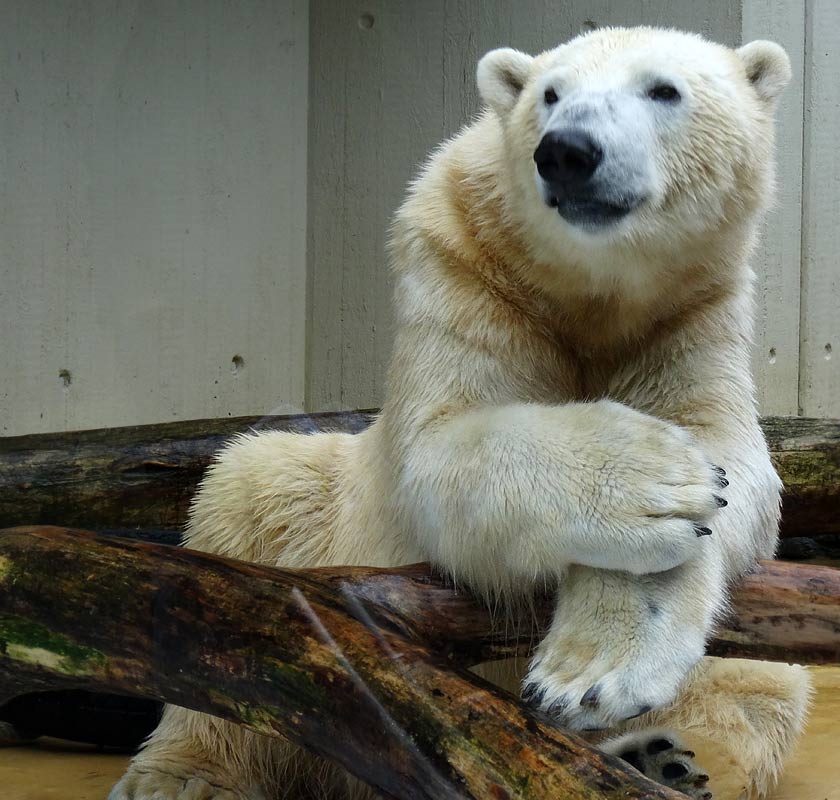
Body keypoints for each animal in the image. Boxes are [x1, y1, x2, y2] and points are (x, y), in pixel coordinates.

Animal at [110, 25, 808, 800]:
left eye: (664, 89)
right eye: (550, 94)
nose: (568, 151)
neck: (590, 292)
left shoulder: (692, 312)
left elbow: (732, 462)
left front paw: (593, 671)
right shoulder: (464, 271)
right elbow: (443, 448)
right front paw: (656, 481)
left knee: (761, 692)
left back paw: (661, 760)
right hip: (312, 524)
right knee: (243, 519)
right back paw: (184, 775)